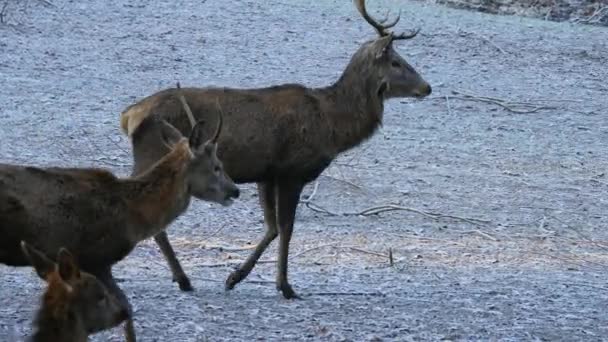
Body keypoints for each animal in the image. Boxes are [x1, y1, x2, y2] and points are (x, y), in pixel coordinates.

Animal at [120, 0, 432, 300]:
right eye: (396, 62)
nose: (427, 87)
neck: (332, 125)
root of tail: (130, 114)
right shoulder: (292, 172)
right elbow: (287, 228)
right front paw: (285, 286)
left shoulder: (266, 174)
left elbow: (271, 227)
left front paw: (234, 277)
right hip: (152, 155)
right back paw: (183, 279)